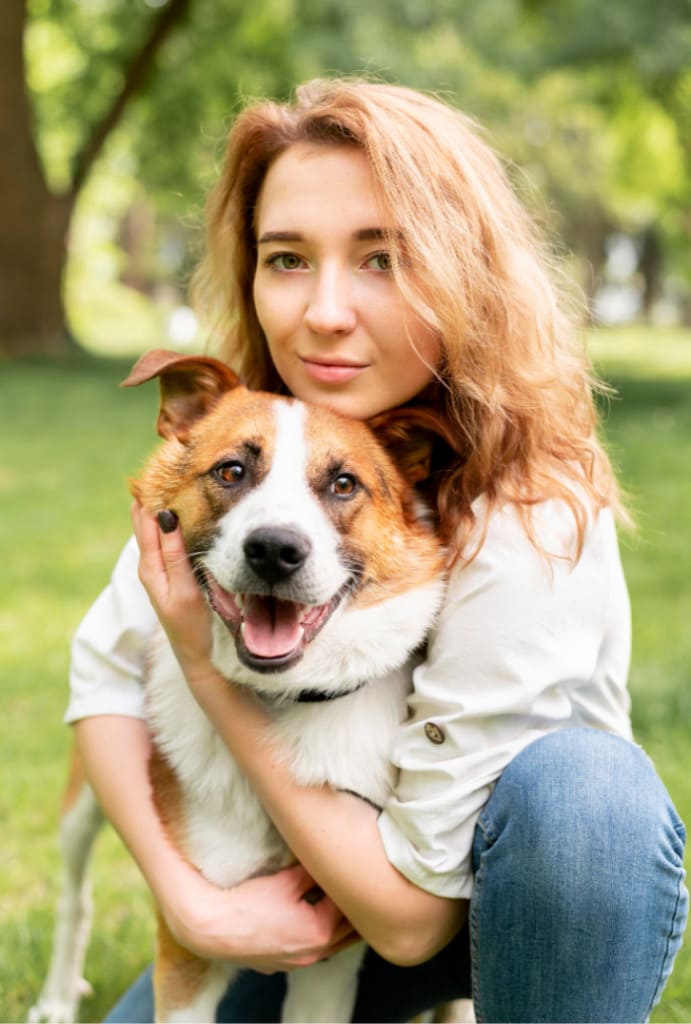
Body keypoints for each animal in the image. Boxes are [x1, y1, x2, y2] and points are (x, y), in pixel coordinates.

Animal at [31, 350, 448, 1024]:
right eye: (231, 471)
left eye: (343, 484)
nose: (275, 550)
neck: (281, 701)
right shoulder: (193, 937)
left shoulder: (335, 954)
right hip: (85, 795)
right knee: (75, 893)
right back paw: (57, 997)